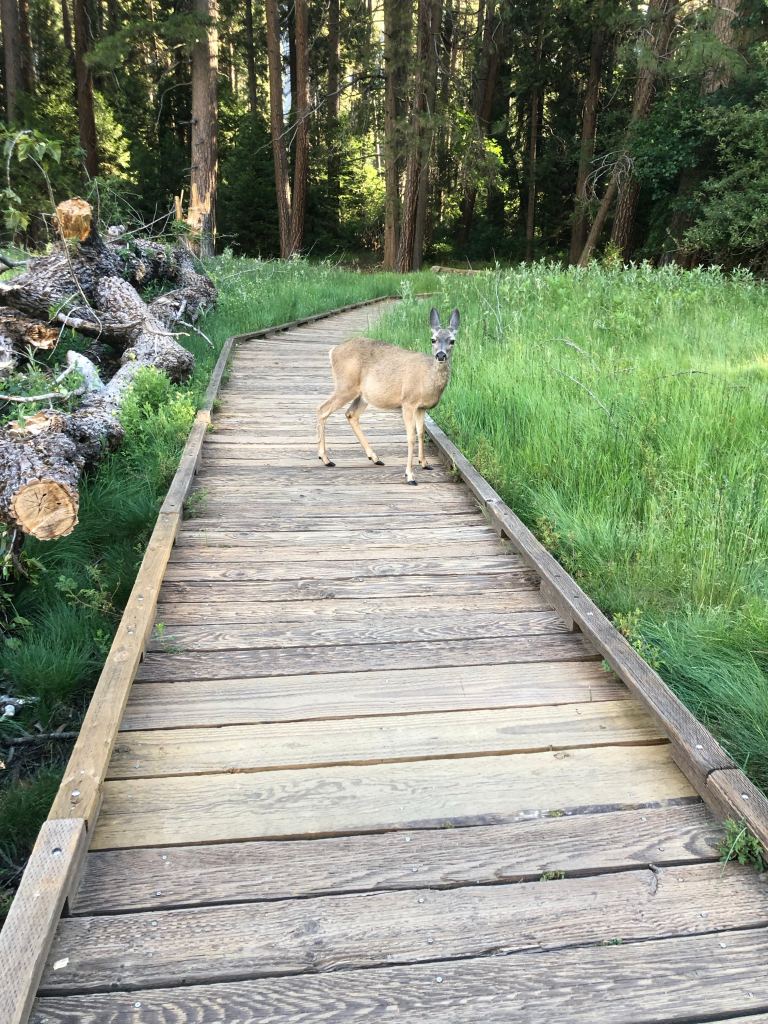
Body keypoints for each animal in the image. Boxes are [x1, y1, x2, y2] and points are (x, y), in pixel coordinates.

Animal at [316, 307, 460, 485]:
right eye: (433, 339)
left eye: (452, 341)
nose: (440, 355)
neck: (427, 379)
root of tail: (333, 351)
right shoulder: (408, 402)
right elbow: (411, 436)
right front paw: (410, 475)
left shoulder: (421, 407)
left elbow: (420, 433)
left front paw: (425, 463)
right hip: (345, 386)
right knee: (322, 409)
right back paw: (326, 459)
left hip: (362, 395)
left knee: (351, 414)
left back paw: (375, 458)